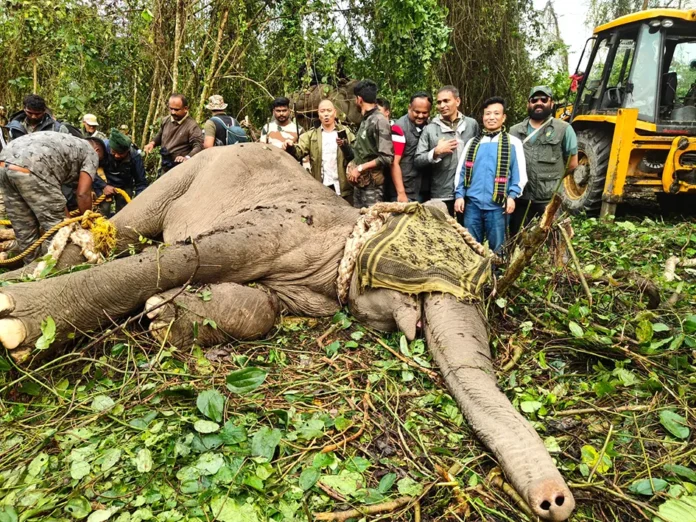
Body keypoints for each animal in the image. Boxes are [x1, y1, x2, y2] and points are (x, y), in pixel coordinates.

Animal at [0, 143, 575, 521]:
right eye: (430, 276)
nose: (555, 501)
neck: (348, 231)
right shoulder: (279, 226)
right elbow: (195, 253)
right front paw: (17, 324)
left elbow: (266, 310)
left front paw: (162, 317)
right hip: (184, 174)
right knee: (121, 229)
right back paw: (24, 273)